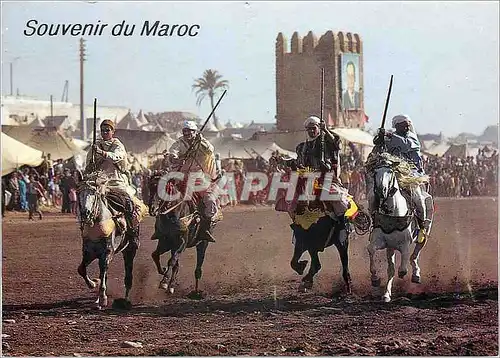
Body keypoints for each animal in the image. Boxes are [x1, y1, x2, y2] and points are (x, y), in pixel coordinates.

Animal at [366, 159, 432, 302]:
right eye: (375, 172)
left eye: (390, 171)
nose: (381, 191)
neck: (393, 214)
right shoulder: (380, 241)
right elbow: (371, 250)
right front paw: (375, 278)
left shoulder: (404, 245)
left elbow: (403, 267)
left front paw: (407, 273)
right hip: (390, 247)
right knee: (391, 269)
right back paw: (386, 294)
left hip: (425, 231)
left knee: (415, 254)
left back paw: (416, 274)